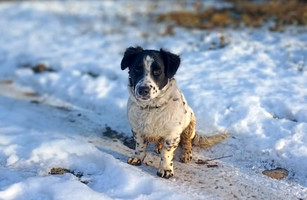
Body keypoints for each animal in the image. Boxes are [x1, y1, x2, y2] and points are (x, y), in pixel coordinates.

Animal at [121, 46, 227, 178]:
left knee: (187, 141)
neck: (152, 107)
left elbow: (166, 152)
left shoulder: (173, 134)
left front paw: (166, 169)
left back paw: (186, 153)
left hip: (190, 123)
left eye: (157, 72)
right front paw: (137, 158)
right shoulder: (137, 129)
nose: (143, 90)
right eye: (137, 69)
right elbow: (140, 145)